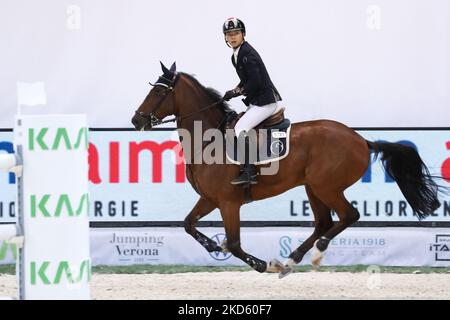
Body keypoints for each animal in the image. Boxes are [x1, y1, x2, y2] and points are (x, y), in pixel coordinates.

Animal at [132, 62, 442, 278]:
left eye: (158, 91)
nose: (136, 120)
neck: (208, 138)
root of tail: (361, 140)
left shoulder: (228, 203)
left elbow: (234, 243)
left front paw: (261, 264)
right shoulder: (210, 199)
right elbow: (188, 224)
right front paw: (213, 247)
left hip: (327, 187)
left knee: (348, 216)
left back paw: (314, 255)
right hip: (313, 188)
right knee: (324, 222)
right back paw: (292, 259)